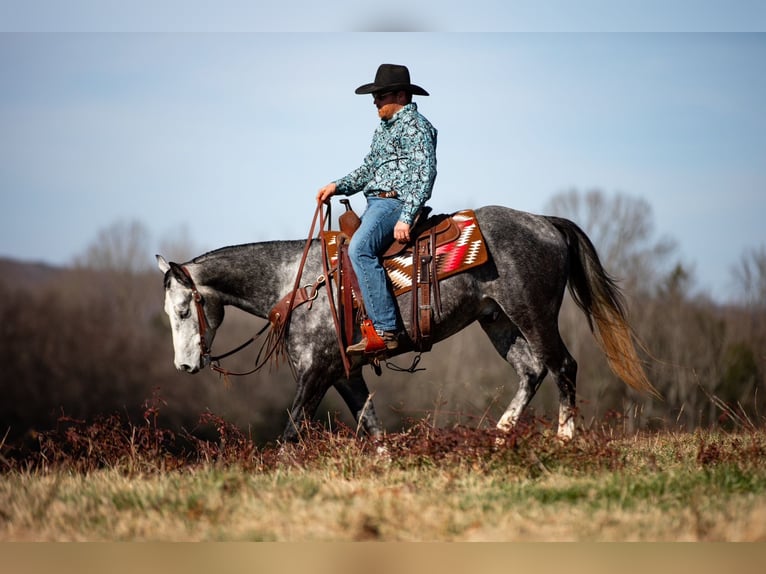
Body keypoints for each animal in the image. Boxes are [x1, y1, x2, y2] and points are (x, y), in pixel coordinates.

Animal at [157, 204, 657, 444]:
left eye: (183, 310)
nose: (183, 366)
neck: (298, 286)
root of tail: (546, 223)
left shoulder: (315, 373)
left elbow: (291, 431)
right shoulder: (345, 374)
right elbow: (372, 427)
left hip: (532, 314)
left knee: (563, 367)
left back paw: (564, 438)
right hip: (497, 320)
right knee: (531, 372)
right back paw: (497, 438)